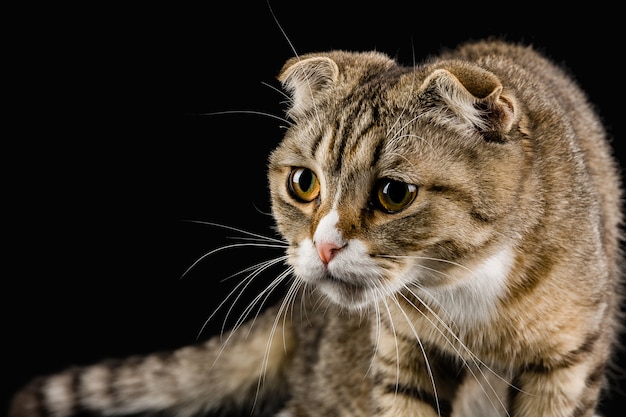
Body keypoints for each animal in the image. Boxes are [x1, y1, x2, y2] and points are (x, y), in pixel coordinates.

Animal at [7, 37, 620, 414]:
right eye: (303, 183)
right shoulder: (400, 352)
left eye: (394, 194)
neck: (468, 294)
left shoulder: (568, 363)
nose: (323, 246)